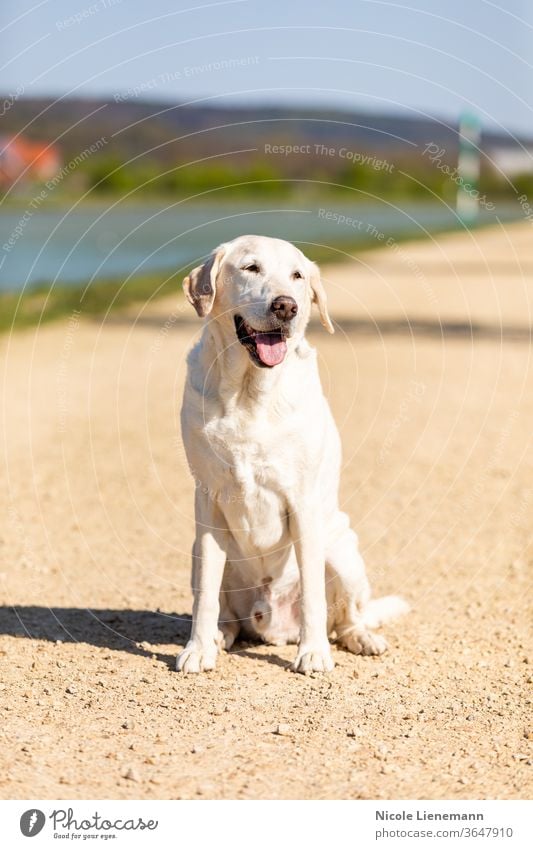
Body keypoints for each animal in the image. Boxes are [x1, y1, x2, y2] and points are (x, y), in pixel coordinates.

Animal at [177, 235, 406, 672]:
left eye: (297, 275)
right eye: (250, 268)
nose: (286, 306)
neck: (249, 391)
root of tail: (272, 625)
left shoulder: (302, 500)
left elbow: (314, 593)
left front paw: (313, 652)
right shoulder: (207, 499)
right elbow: (206, 595)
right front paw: (197, 649)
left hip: (341, 551)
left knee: (348, 616)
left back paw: (360, 638)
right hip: (198, 549)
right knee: (224, 612)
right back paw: (218, 637)